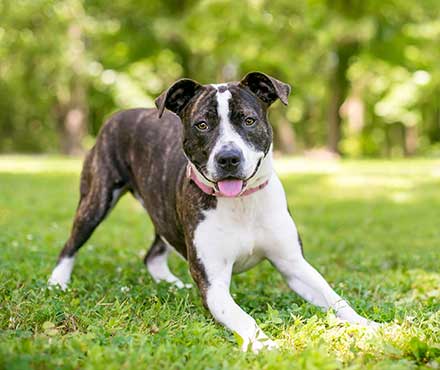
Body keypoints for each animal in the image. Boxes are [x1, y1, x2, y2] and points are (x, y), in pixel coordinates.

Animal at [49, 71, 376, 350]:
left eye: (249, 120)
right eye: (202, 125)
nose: (228, 157)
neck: (241, 203)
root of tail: (120, 114)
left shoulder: (293, 264)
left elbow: (335, 298)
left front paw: (370, 325)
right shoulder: (214, 285)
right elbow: (244, 318)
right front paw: (265, 344)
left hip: (163, 212)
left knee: (153, 254)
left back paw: (171, 284)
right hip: (96, 201)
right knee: (71, 244)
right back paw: (57, 282)